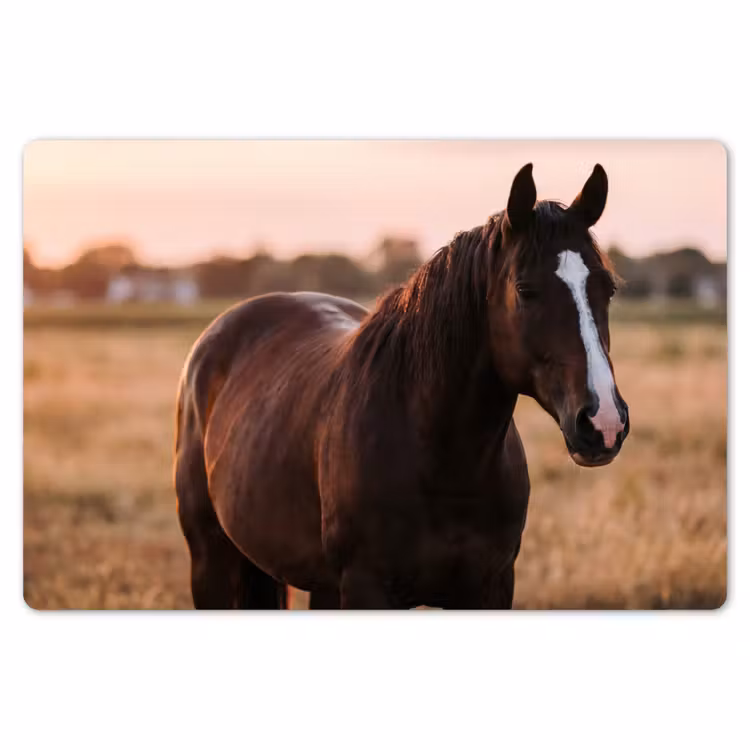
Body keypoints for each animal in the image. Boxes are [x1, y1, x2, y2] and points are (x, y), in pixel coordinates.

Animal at [174, 163, 630, 609]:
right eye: (525, 289)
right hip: (211, 563)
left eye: (608, 288)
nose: (603, 422)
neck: (442, 459)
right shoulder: (366, 588)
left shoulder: (491, 587)